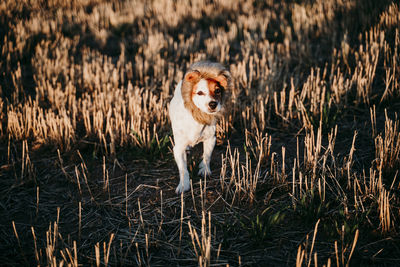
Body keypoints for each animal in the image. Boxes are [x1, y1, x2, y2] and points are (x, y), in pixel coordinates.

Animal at [168, 61, 231, 195]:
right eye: (200, 92)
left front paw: (204, 169)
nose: (213, 104)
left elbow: (207, 156)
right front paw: (184, 185)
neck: (197, 119)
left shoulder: (211, 139)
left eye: (217, 90)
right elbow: (183, 169)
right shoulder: (178, 148)